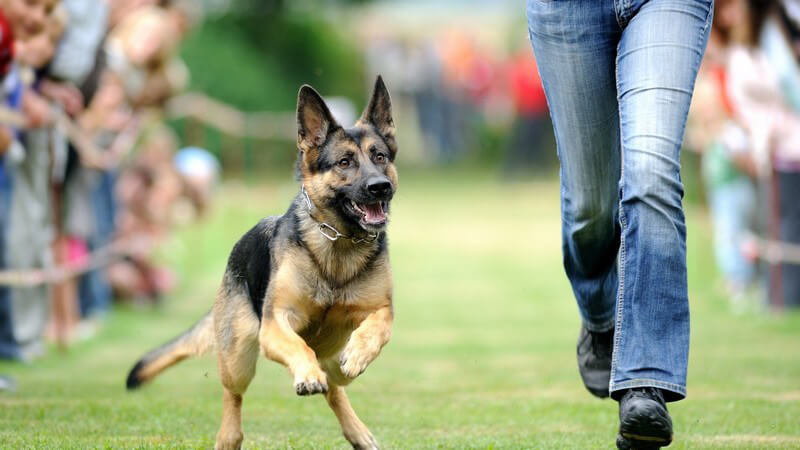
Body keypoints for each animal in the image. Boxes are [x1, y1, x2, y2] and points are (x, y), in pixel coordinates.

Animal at [125, 75, 396, 448]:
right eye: (344, 162)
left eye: (379, 156)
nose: (380, 187)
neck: (338, 243)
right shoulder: (276, 322)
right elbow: (298, 346)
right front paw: (306, 374)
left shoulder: (379, 309)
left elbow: (377, 327)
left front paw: (358, 353)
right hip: (238, 357)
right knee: (233, 393)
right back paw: (229, 435)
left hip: (325, 361)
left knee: (336, 388)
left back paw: (357, 429)